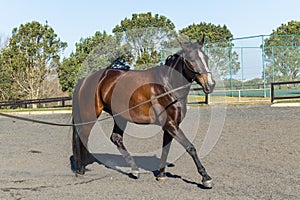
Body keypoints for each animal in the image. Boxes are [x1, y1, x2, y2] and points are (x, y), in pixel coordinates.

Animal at [71, 36, 216, 188]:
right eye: (191, 59)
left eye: (206, 58)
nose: (210, 84)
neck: (168, 86)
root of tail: (85, 80)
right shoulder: (170, 124)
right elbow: (190, 147)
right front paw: (205, 177)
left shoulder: (171, 125)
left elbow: (166, 149)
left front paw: (161, 174)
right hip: (89, 116)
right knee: (83, 137)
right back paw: (80, 170)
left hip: (120, 117)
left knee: (116, 139)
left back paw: (134, 170)